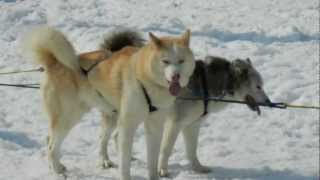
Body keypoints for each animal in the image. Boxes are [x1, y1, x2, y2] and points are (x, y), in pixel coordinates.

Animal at [23, 26, 194, 180]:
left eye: (181, 61)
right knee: (52, 143)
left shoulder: (155, 126)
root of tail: (54, 62)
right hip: (69, 117)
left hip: (110, 115)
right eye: (165, 61)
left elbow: (152, 159)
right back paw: (57, 169)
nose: (176, 76)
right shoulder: (128, 125)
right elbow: (124, 165)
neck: (145, 78)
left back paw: (101, 161)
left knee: (101, 138)